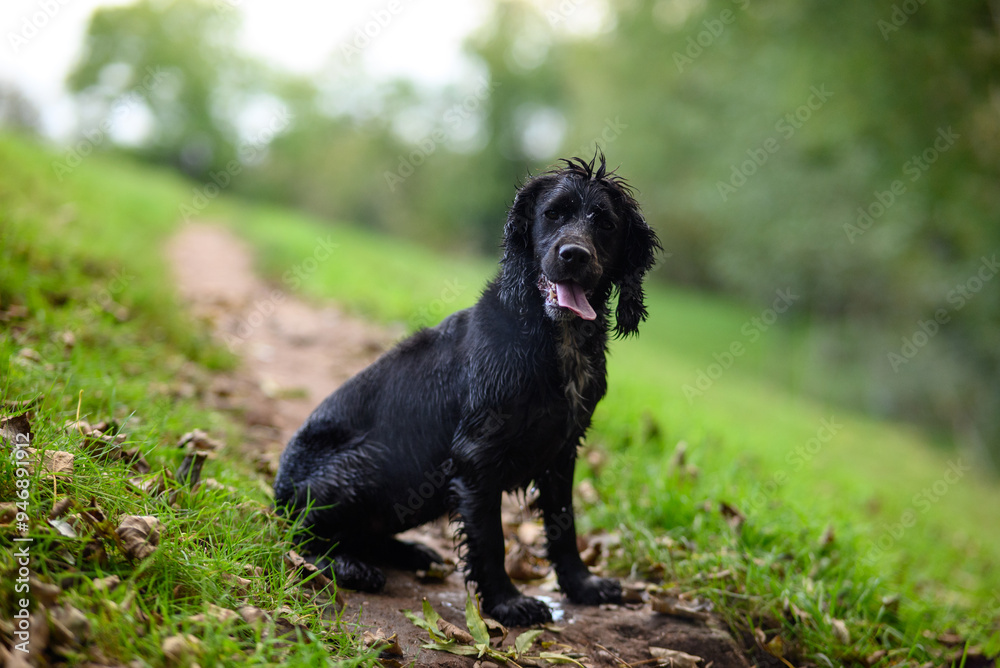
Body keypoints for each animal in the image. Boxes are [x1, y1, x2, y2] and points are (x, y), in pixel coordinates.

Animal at [273, 153, 660, 626]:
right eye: (553, 214)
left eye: (604, 222)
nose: (574, 254)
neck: (549, 333)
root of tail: (277, 490)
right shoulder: (477, 458)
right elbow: (491, 540)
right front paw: (508, 603)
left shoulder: (563, 452)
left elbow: (564, 526)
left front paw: (582, 586)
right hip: (371, 465)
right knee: (299, 536)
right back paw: (345, 565)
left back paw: (411, 552)